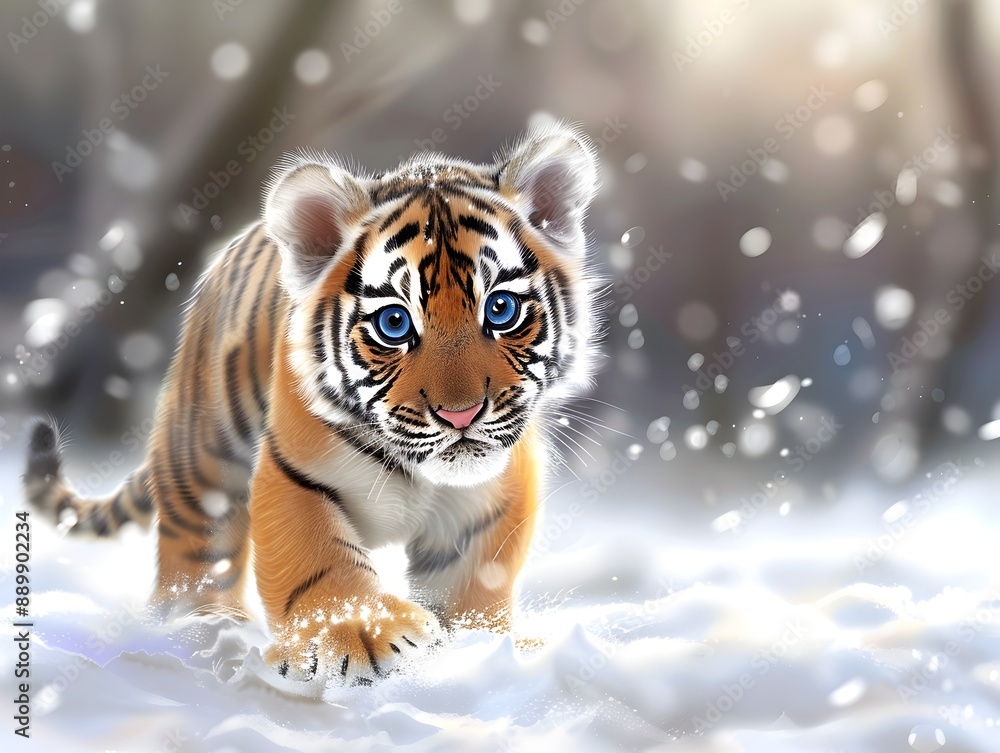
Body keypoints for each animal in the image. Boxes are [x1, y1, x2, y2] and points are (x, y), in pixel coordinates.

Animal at [24, 121, 600, 684]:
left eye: (500, 310)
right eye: (395, 323)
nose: (461, 414)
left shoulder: (492, 496)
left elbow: (474, 584)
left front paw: (478, 651)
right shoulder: (293, 471)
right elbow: (318, 557)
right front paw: (361, 635)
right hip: (204, 449)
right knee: (196, 547)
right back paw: (198, 630)